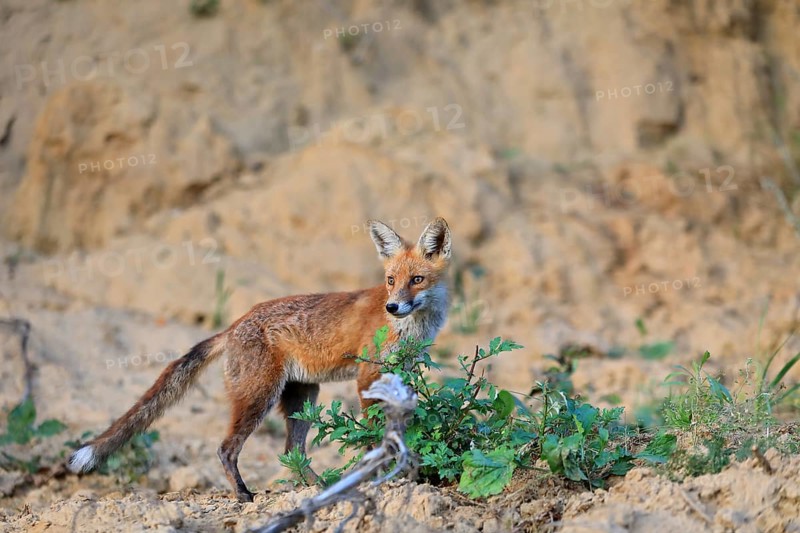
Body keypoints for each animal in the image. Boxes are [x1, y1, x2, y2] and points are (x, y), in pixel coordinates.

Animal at [67, 217, 452, 502]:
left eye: (417, 280)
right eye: (390, 280)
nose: (393, 306)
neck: (410, 328)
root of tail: (234, 324)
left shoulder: (401, 374)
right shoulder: (368, 375)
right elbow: (374, 437)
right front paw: (383, 476)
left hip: (302, 397)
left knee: (293, 451)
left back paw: (319, 489)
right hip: (259, 397)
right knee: (227, 448)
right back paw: (245, 494)